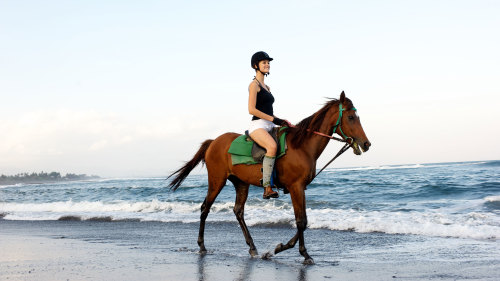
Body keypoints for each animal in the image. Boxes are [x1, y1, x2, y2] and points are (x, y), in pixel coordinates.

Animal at [169, 90, 372, 262]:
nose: (366, 143)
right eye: (351, 117)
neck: (302, 146)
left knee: (238, 211)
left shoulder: (300, 188)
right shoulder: (296, 187)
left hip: (241, 183)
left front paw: (280, 247)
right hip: (216, 180)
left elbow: (304, 220)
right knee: (205, 208)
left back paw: (252, 247)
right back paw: (202, 246)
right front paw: (302, 253)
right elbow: (301, 221)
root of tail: (213, 142)